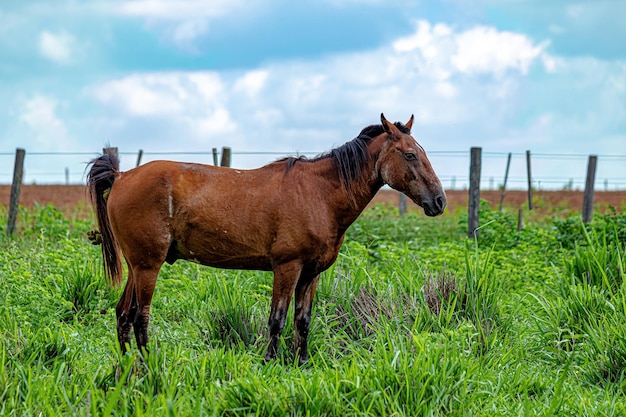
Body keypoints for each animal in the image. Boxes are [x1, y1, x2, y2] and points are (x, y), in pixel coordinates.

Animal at [88, 112, 446, 362]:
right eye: (409, 155)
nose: (439, 201)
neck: (319, 194)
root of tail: (121, 176)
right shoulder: (287, 267)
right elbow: (277, 319)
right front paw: (269, 362)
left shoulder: (311, 274)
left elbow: (303, 320)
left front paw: (302, 363)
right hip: (148, 266)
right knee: (140, 317)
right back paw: (148, 368)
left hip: (137, 267)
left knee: (123, 314)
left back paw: (127, 367)